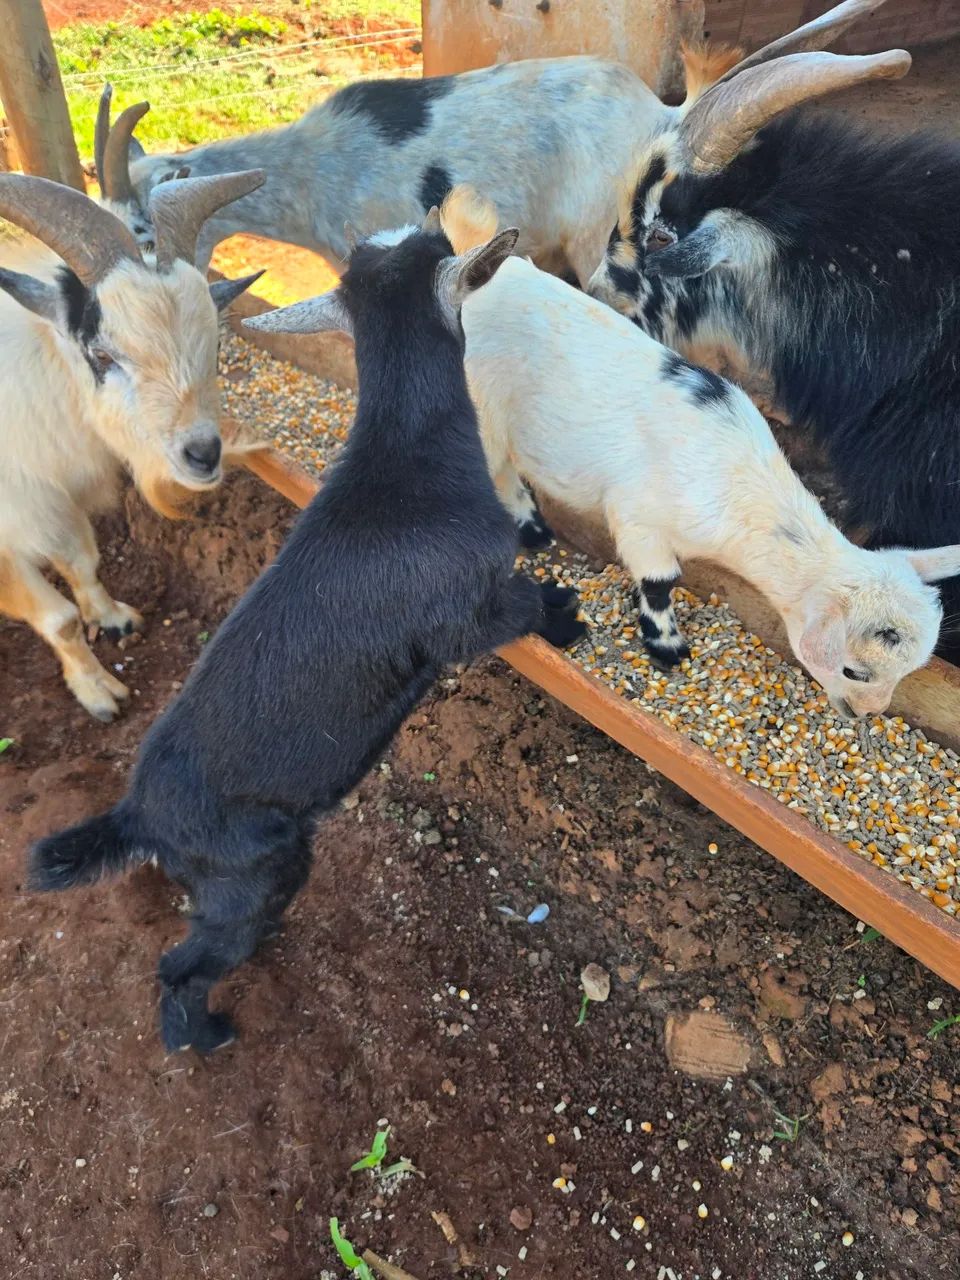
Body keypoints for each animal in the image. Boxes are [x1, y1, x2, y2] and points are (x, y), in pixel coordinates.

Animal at [0, 170, 264, 721]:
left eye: (216, 344)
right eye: (102, 355)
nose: (203, 455)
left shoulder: (57, 500)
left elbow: (84, 560)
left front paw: (113, 618)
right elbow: (58, 619)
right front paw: (100, 692)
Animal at [29, 199, 586, 1055]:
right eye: (440, 243)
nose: (435, 207)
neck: (405, 463)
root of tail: (137, 818)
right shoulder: (466, 612)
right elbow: (519, 611)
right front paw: (567, 622)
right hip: (256, 866)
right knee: (181, 964)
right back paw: (205, 1033)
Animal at [444, 187, 960, 719]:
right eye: (854, 670)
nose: (866, 713)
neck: (740, 488)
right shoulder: (638, 517)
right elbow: (659, 581)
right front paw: (668, 647)